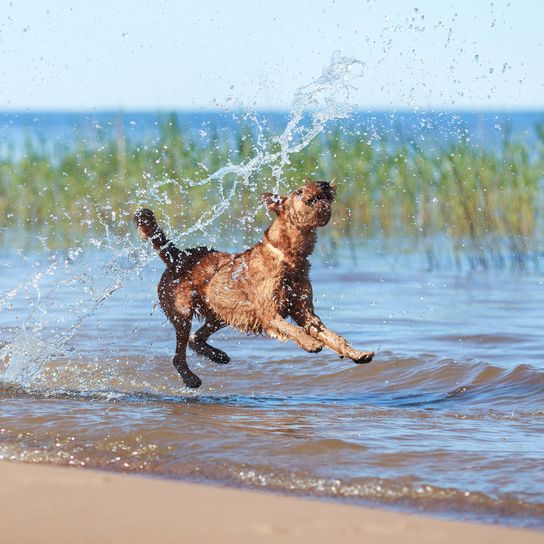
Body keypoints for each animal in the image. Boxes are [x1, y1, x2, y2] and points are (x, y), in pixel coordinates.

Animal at [135, 177, 374, 386]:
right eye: (298, 191)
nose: (323, 183)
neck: (289, 256)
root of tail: (176, 255)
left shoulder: (305, 312)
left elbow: (333, 336)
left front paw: (357, 353)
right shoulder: (269, 311)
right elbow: (292, 330)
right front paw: (311, 343)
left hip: (221, 312)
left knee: (196, 339)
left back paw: (219, 356)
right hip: (182, 312)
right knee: (179, 354)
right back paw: (191, 378)